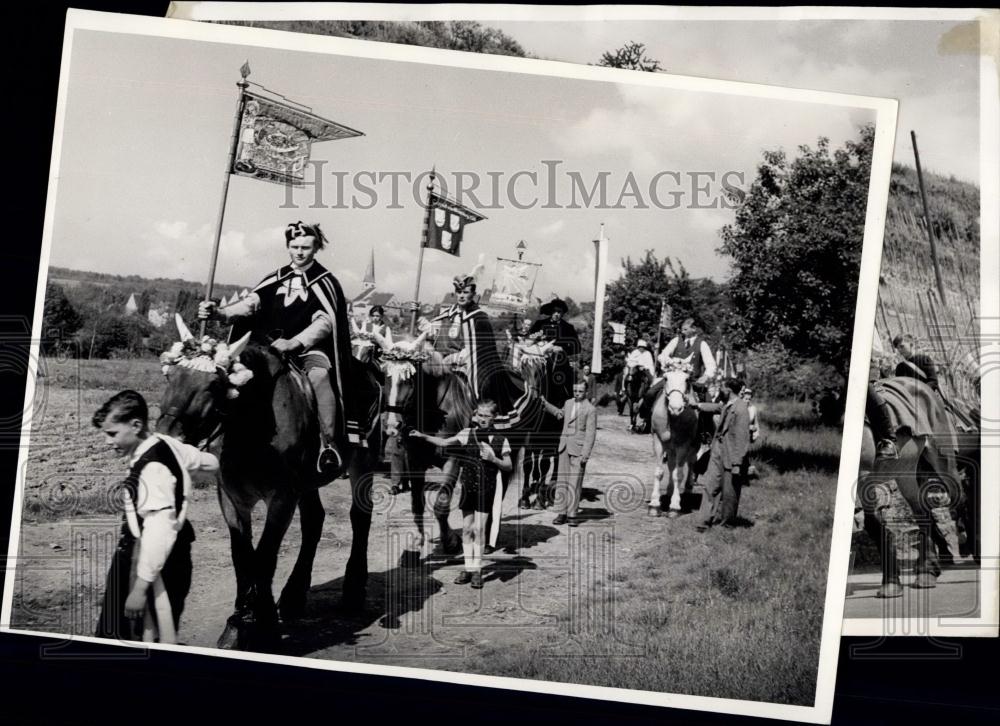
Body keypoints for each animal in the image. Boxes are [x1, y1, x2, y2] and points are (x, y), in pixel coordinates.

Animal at [158, 318, 380, 656]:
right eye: (170, 376)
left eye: (213, 386)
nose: (167, 438)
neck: (253, 429)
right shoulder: (232, 498)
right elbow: (243, 557)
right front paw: (240, 623)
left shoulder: (282, 497)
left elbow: (264, 556)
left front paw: (262, 627)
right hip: (308, 482)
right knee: (314, 520)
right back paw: (293, 595)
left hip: (362, 463)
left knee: (360, 517)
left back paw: (353, 590)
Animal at [644, 358, 700, 516]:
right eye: (666, 378)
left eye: (687, 379)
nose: (675, 408)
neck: (673, 419)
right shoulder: (658, 441)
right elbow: (660, 472)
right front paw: (654, 504)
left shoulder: (683, 445)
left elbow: (678, 474)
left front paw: (675, 506)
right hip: (670, 447)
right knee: (671, 464)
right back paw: (669, 491)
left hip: (693, 446)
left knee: (691, 462)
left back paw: (687, 489)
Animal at [860, 376, 968, 596]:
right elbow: (873, 524)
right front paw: (891, 584)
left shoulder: (863, 476)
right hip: (906, 472)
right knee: (923, 512)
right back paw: (928, 571)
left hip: (943, 461)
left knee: (958, 498)